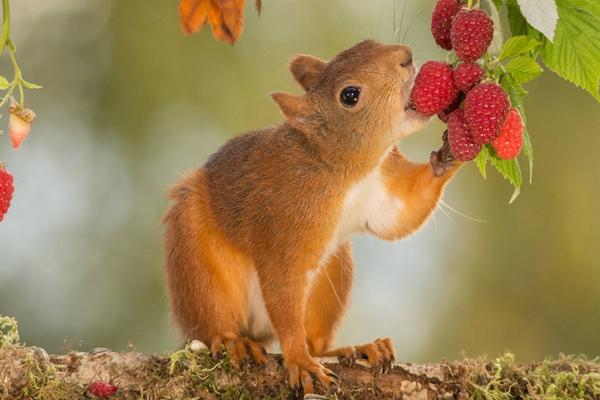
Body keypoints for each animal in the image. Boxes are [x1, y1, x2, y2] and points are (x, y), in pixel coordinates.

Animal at [164, 40, 460, 394]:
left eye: (366, 43)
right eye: (349, 95)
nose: (405, 57)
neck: (345, 170)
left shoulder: (383, 188)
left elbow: (402, 214)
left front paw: (452, 150)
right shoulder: (285, 223)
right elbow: (283, 288)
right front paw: (299, 361)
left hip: (333, 272)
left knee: (317, 341)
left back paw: (360, 348)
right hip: (196, 262)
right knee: (213, 322)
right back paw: (234, 342)